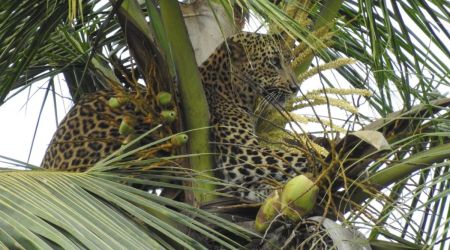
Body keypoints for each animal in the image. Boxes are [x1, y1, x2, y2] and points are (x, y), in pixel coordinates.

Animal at [42, 32, 314, 202]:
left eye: (287, 61)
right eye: (274, 62)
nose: (295, 87)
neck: (231, 87)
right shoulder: (239, 153)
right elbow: (291, 158)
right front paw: (324, 158)